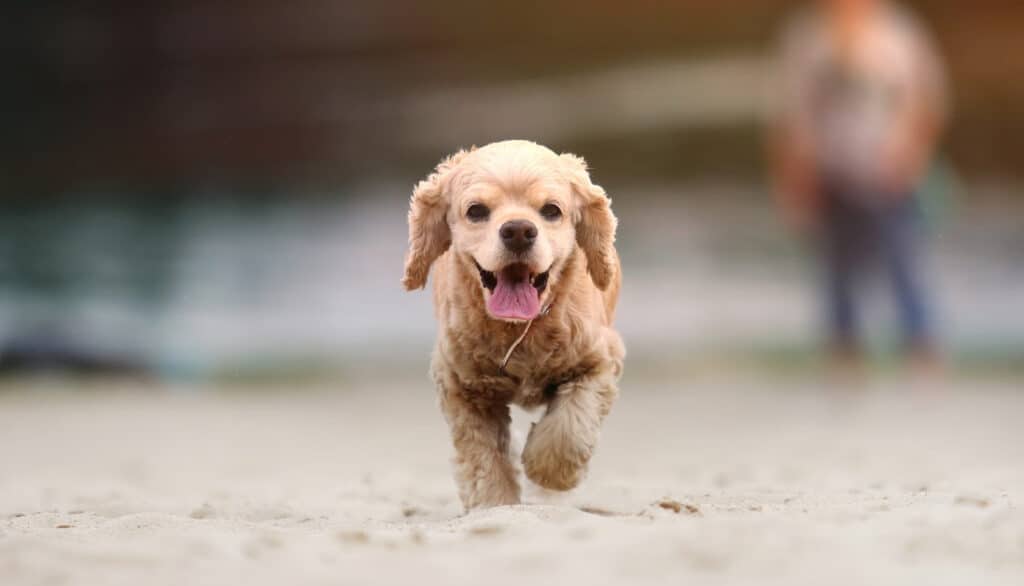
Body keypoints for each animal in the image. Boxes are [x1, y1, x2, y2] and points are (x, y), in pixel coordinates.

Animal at [399, 140, 622, 508]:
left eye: (551, 210)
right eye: (476, 211)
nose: (518, 230)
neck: (518, 328)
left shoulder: (598, 361)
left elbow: (570, 427)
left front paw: (547, 472)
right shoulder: (462, 386)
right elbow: (482, 456)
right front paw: (495, 503)